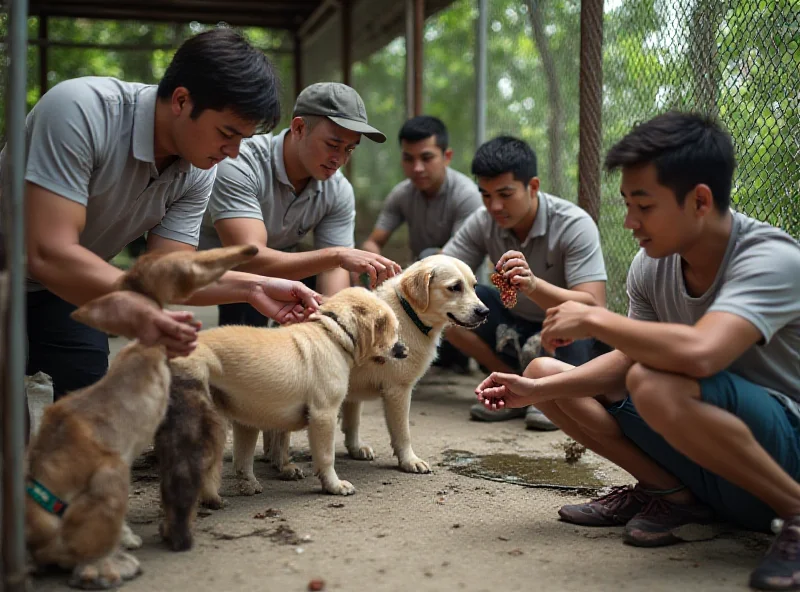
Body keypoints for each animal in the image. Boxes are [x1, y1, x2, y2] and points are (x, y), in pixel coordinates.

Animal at [264, 254, 488, 480]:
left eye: (474, 286)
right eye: (455, 287)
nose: (484, 312)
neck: (410, 314)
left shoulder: (353, 393)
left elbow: (352, 423)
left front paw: (355, 448)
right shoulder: (398, 391)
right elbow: (403, 433)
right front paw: (409, 461)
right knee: (279, 433)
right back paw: (284, 465)